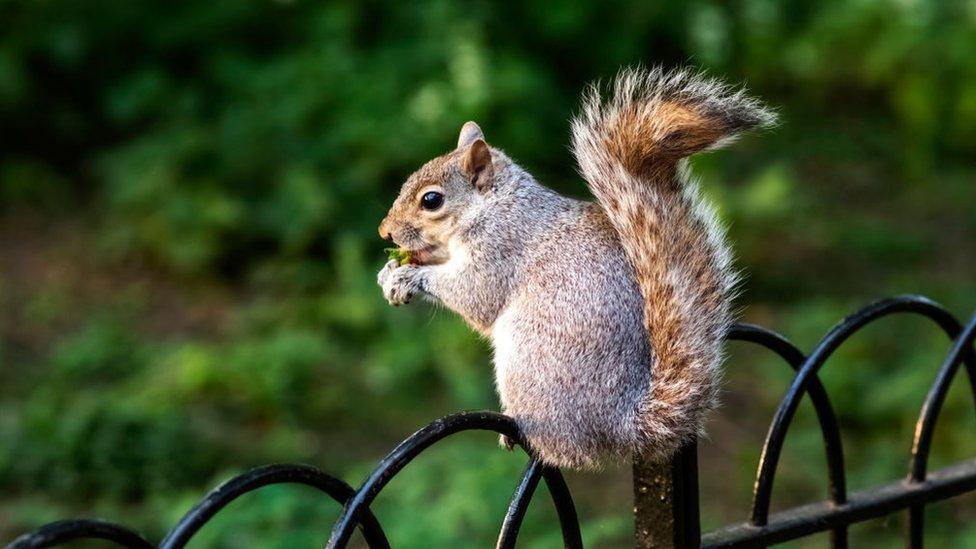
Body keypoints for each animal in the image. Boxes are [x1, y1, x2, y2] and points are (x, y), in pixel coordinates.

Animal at [378, 64, 772, 466]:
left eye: (431, 200)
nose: (384, 232)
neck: (497, 205)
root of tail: (621, 427)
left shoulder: (500, 248)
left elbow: (474, 295)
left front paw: (409, 276)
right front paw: (389, 271)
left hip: (527, 362)